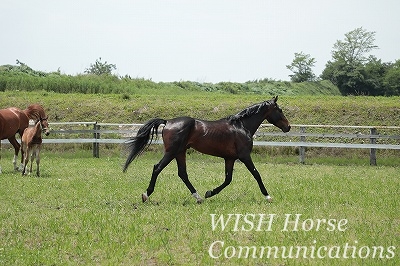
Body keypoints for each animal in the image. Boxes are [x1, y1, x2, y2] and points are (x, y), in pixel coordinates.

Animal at [122, 95, 290, 204]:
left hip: (180, 153)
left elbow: (228, 179)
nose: (288, 127)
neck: (241, 127)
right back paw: (146, 195)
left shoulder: (230, 159)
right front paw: (268, 196)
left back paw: (199, 197)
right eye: (280, 110)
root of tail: (168, 121)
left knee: (182, 174)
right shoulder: (244, 156)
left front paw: (210, 193)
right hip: (171, 152)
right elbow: (257, 175)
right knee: (157, 168)